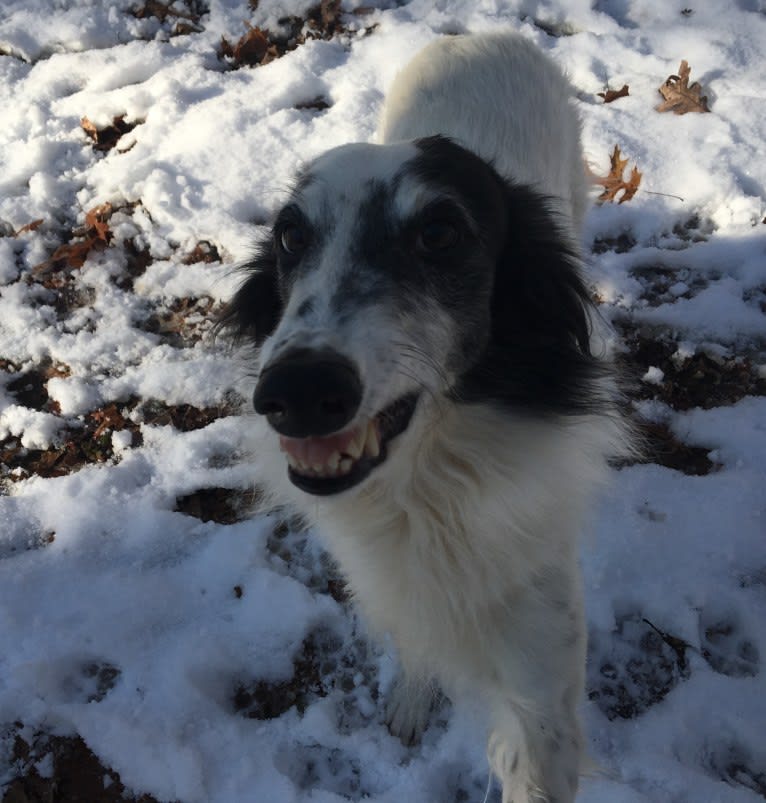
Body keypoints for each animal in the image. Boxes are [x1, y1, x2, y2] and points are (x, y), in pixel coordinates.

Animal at [219, 31, 628, 803]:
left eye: (440, 233)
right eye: (290, 236)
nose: (296, 391)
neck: (431, 485)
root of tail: (480, 34)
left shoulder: (544, 690)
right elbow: (414, 642)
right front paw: (412, 697)